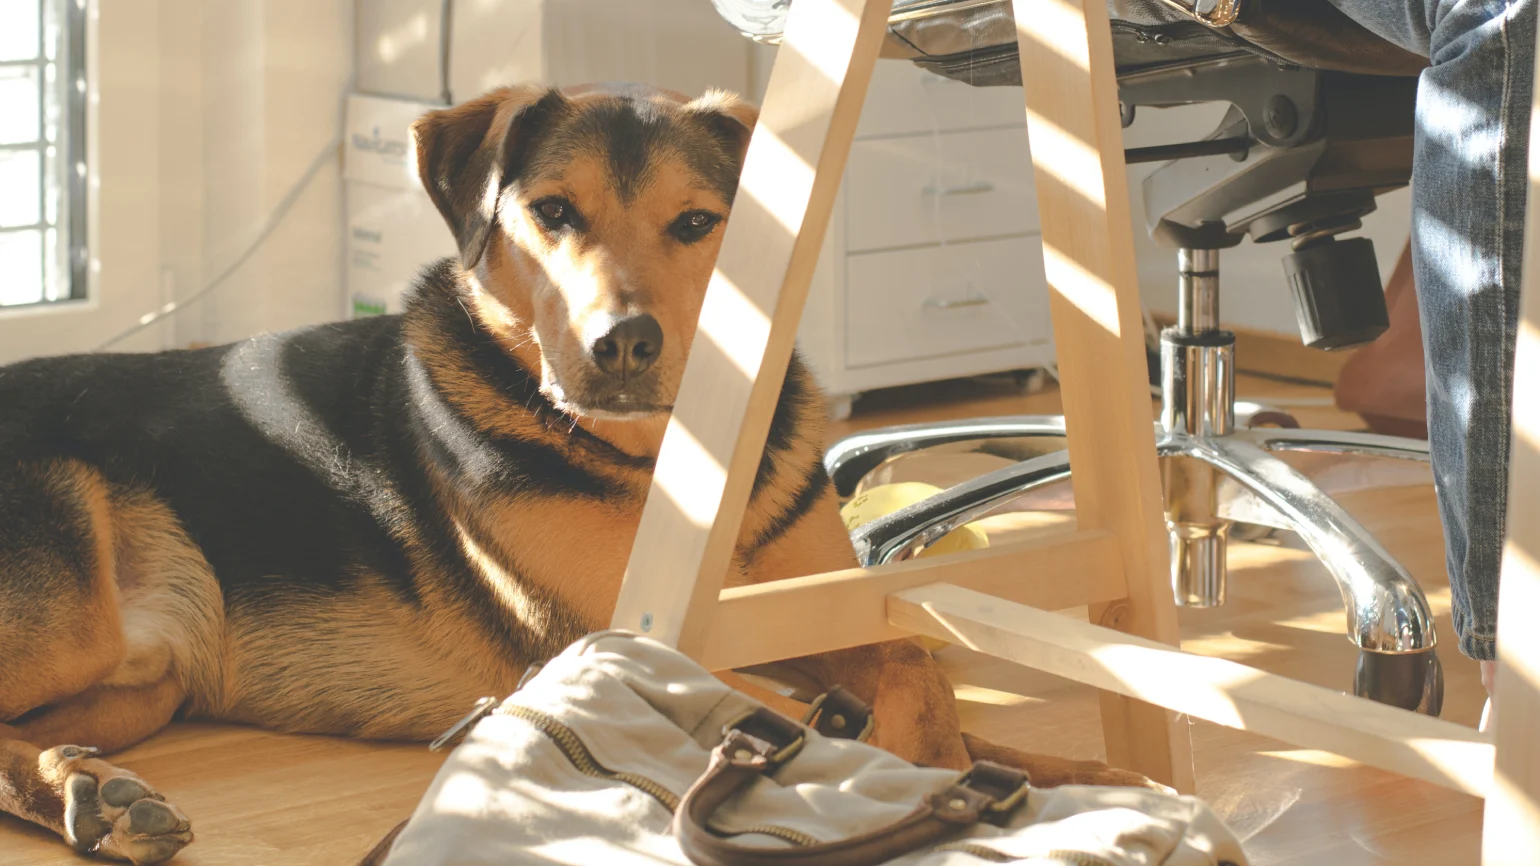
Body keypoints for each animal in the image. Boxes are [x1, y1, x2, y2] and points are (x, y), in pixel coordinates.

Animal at [0, 79, 1158, 856]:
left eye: (697, 224)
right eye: (551, 212)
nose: (622, 345)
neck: (671, 460)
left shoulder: (813, 616)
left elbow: (922, 662)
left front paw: (1062, 772)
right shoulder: (619, 646)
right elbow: (899, 700)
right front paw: (931, 776)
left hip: (143, 680)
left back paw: (96, 796)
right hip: (71, 622)